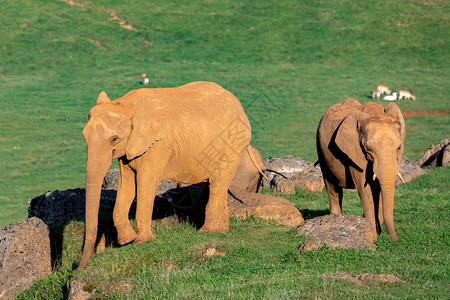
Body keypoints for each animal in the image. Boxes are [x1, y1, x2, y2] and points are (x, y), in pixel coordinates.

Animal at [78, 81, 251, 268]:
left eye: (114, 139)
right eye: (84, 137)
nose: (79, 268)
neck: (127, 105)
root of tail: (238, 104)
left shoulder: (159, 143)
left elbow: (145, 181)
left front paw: (142, 241)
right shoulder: (129, 148)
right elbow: (127, 184)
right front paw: (127, 241)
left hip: (234, 143)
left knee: (218, 183)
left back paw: (207, 232)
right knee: (219, 185)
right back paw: (222, 231)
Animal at [314, 98, 406, 241]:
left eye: (399, 147)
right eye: (368, 149)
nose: (397, 241)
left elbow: (377, 189)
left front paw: (374, 230)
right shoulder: (355, 151)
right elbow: (365, 188)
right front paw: (371, 233)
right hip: (321, 151)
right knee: (332, 187)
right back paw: (336, 220)